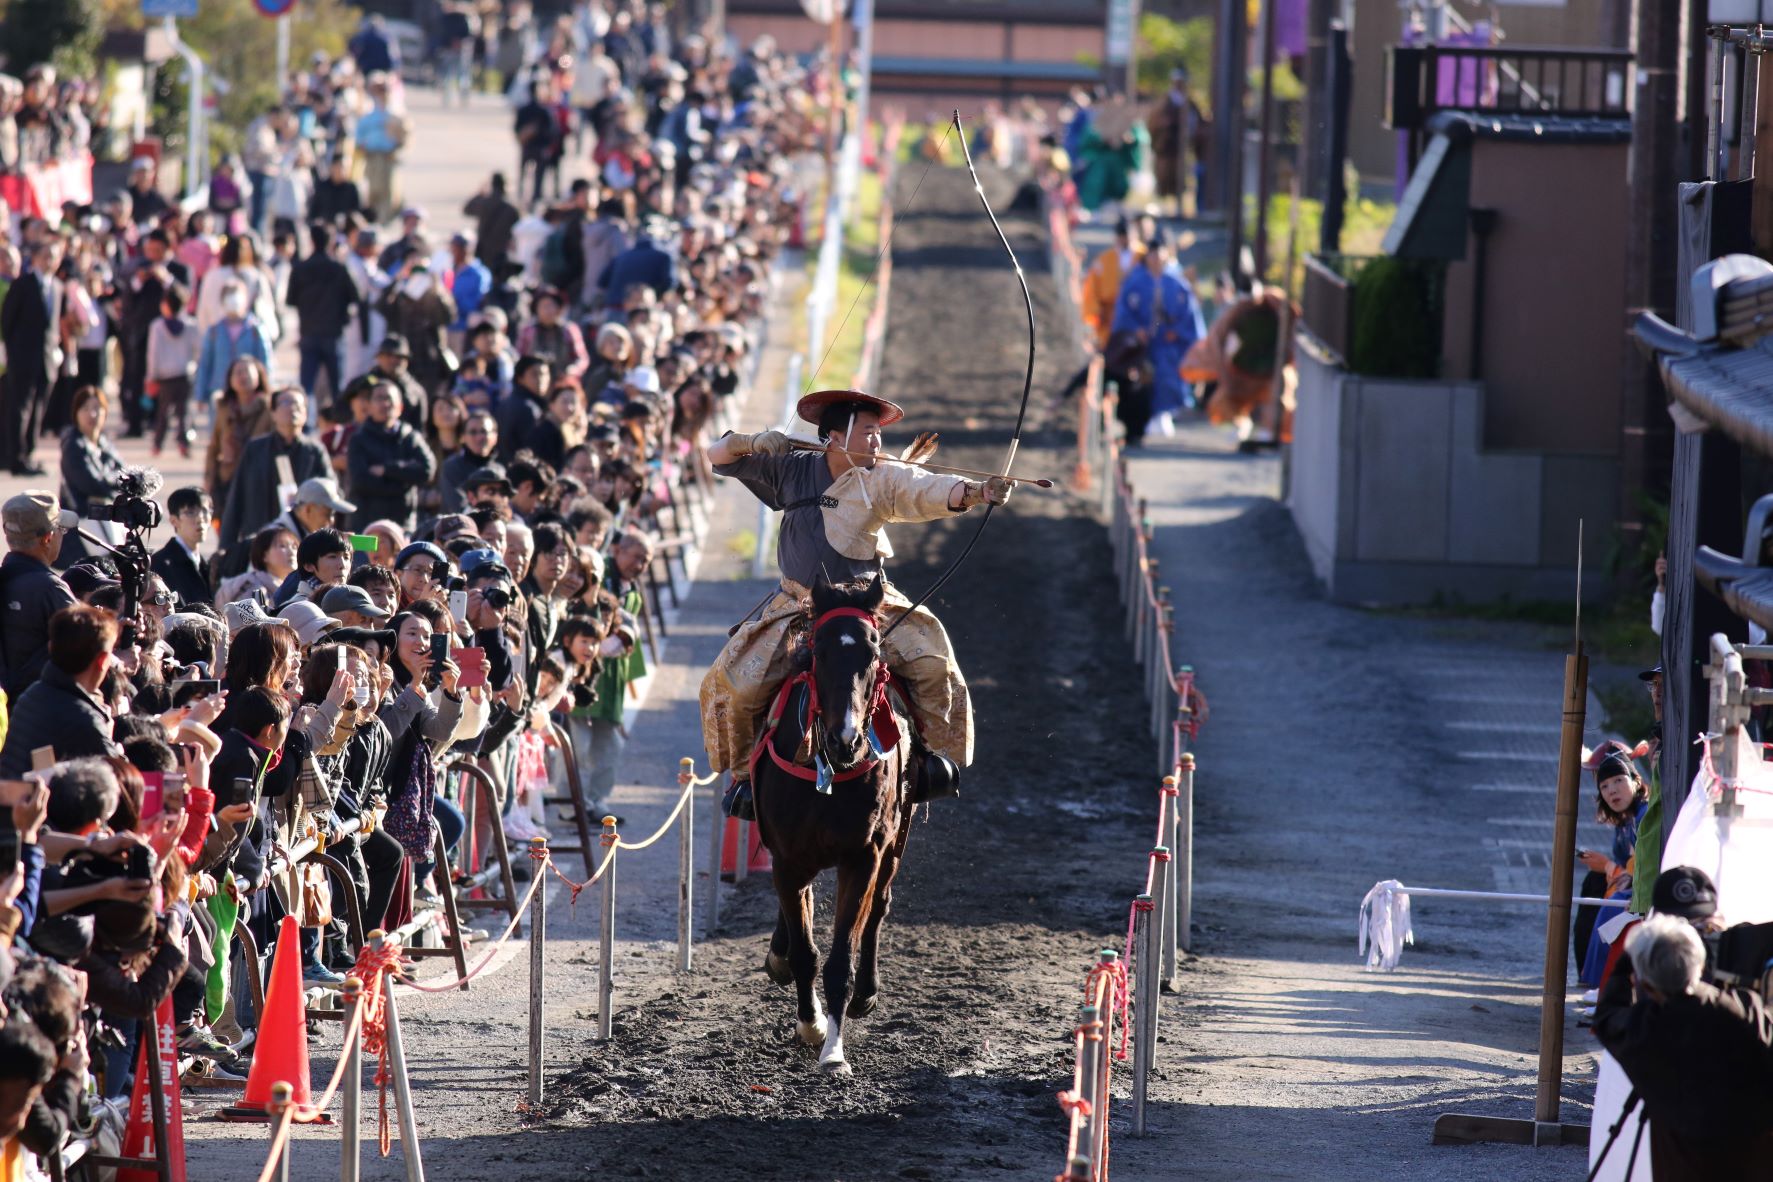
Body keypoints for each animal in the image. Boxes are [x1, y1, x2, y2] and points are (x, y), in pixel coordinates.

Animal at [748, 577, 914, 1077]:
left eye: (873, 651)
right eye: (819, 652)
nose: (847, 738)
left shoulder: (862, 855)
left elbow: (841, 959)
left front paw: (834, 1052)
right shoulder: (787, 858)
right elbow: (805, 953)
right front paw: (811, 1025)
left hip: (897, 839)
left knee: (878, 909)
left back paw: (866, 995)